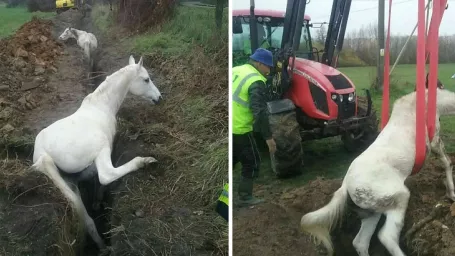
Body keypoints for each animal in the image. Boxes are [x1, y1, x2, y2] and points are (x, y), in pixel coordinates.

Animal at [31, 55, 162, 248]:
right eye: (146, 79)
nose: (159, 98)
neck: (102, 106)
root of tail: (43, 154)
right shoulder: (107, 148)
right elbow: (103, 180)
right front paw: (99, 200)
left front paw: (96, 203)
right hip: (100, 151)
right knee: (107, 174)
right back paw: (144, 161)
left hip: (69, 183)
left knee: (86, 219)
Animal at [302, 88, 455, 256]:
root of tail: (345, 186)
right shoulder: (434, 141)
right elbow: (447, 162)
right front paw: (452, 193)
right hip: (399, 196)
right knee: (386, 236)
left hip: (372, 211)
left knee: (360, 242)